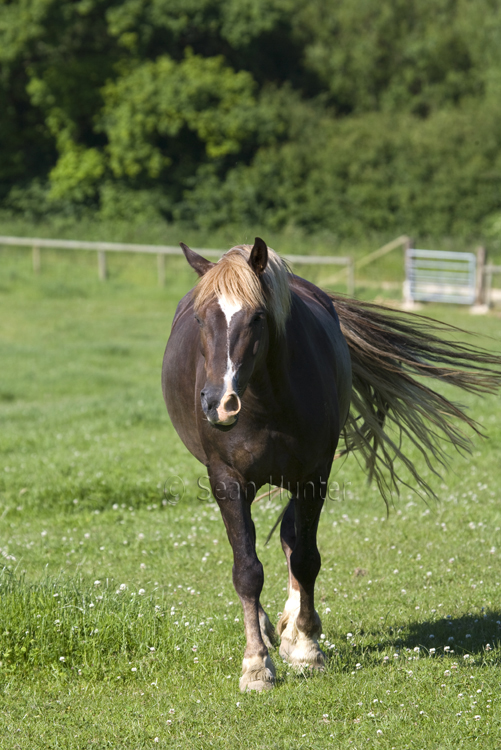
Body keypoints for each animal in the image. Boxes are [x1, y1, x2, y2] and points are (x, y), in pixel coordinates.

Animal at [163, 239, 500, 692]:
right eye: (201, 318)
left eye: (258, 316)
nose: (220, 402)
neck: (264, 401)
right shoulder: (226, 479)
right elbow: (247, 569)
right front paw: (256, 664)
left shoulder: (313, 475)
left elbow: (305, 558)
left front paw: (305, 648)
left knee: (291, 540)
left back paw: (291, 630)